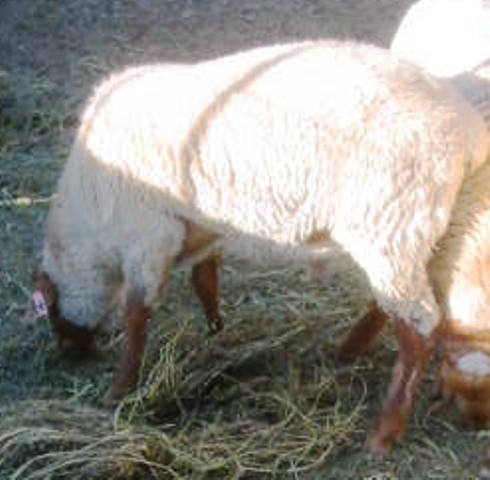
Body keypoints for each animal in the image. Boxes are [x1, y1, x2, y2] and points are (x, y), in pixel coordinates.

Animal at [28, 40, 488, 454]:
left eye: (49, 310)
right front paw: (216, 328)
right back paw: (352, 350)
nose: (68, 354)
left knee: (419, 330)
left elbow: (136, 317)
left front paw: (120, 390)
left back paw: (384, 432)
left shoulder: (147, 238)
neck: (89, 227)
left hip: (391, 224)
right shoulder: (202, 227)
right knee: (402, 304)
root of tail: (468, 132)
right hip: (428, 230)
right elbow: (204, 279)